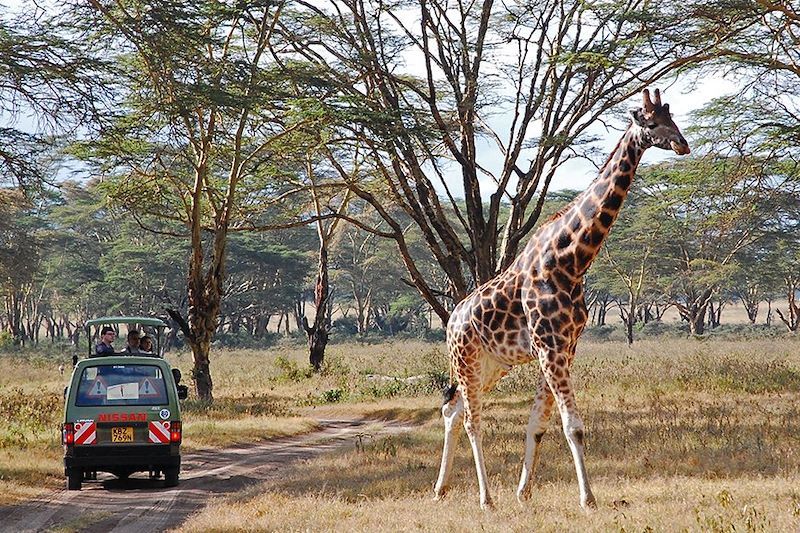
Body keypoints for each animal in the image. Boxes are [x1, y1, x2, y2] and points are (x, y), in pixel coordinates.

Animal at [434, 89, 692, 510]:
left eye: (675, 119)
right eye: (651, 123)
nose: (682, 144)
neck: (571, 259)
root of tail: (451, 321)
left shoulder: (565, 346)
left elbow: (539, 423)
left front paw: (524, 492)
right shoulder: (550, 346)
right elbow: (573, 426)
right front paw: (588, 498)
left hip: (492, 365)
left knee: (451, 410)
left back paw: (441, 489)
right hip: (467, 360)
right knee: (472, 420)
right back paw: (485, 498)